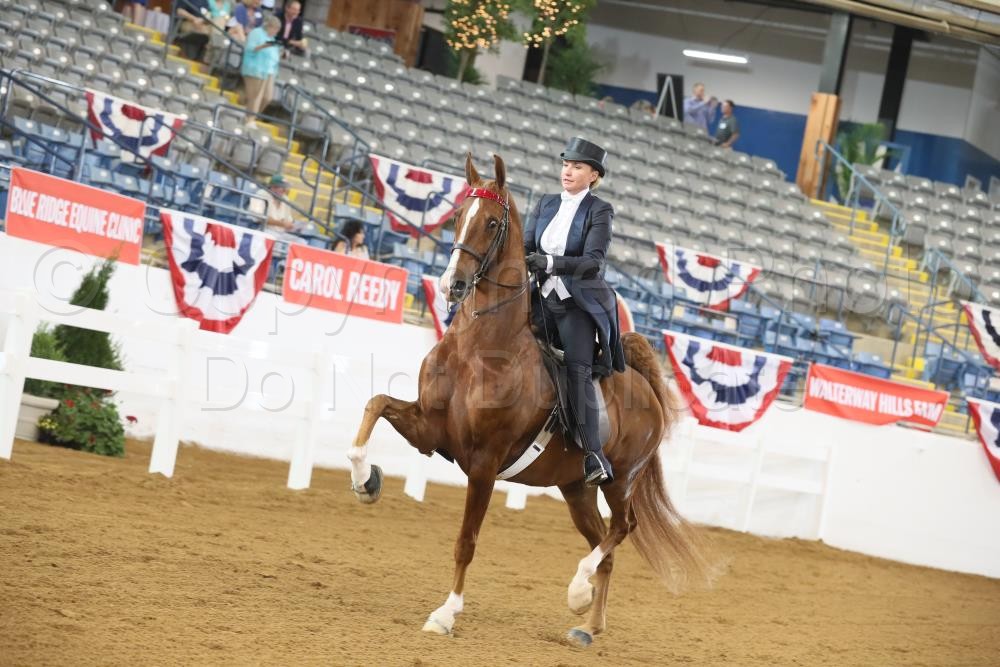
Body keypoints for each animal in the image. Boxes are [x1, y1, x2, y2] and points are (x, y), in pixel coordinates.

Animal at [349, 153, 708, 648]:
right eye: (457, 217)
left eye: (491, 223)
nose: (452, 285)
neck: (478, 349)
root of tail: (644, 387)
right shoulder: (429, 431)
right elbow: (375, 404)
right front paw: (367, 481)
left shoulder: (484, 462)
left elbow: (466, 541)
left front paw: (446, 613)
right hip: (575, 489)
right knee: (604, 543)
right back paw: (587, 626)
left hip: (619, 480)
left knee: (621, 528)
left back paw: (578, 591)